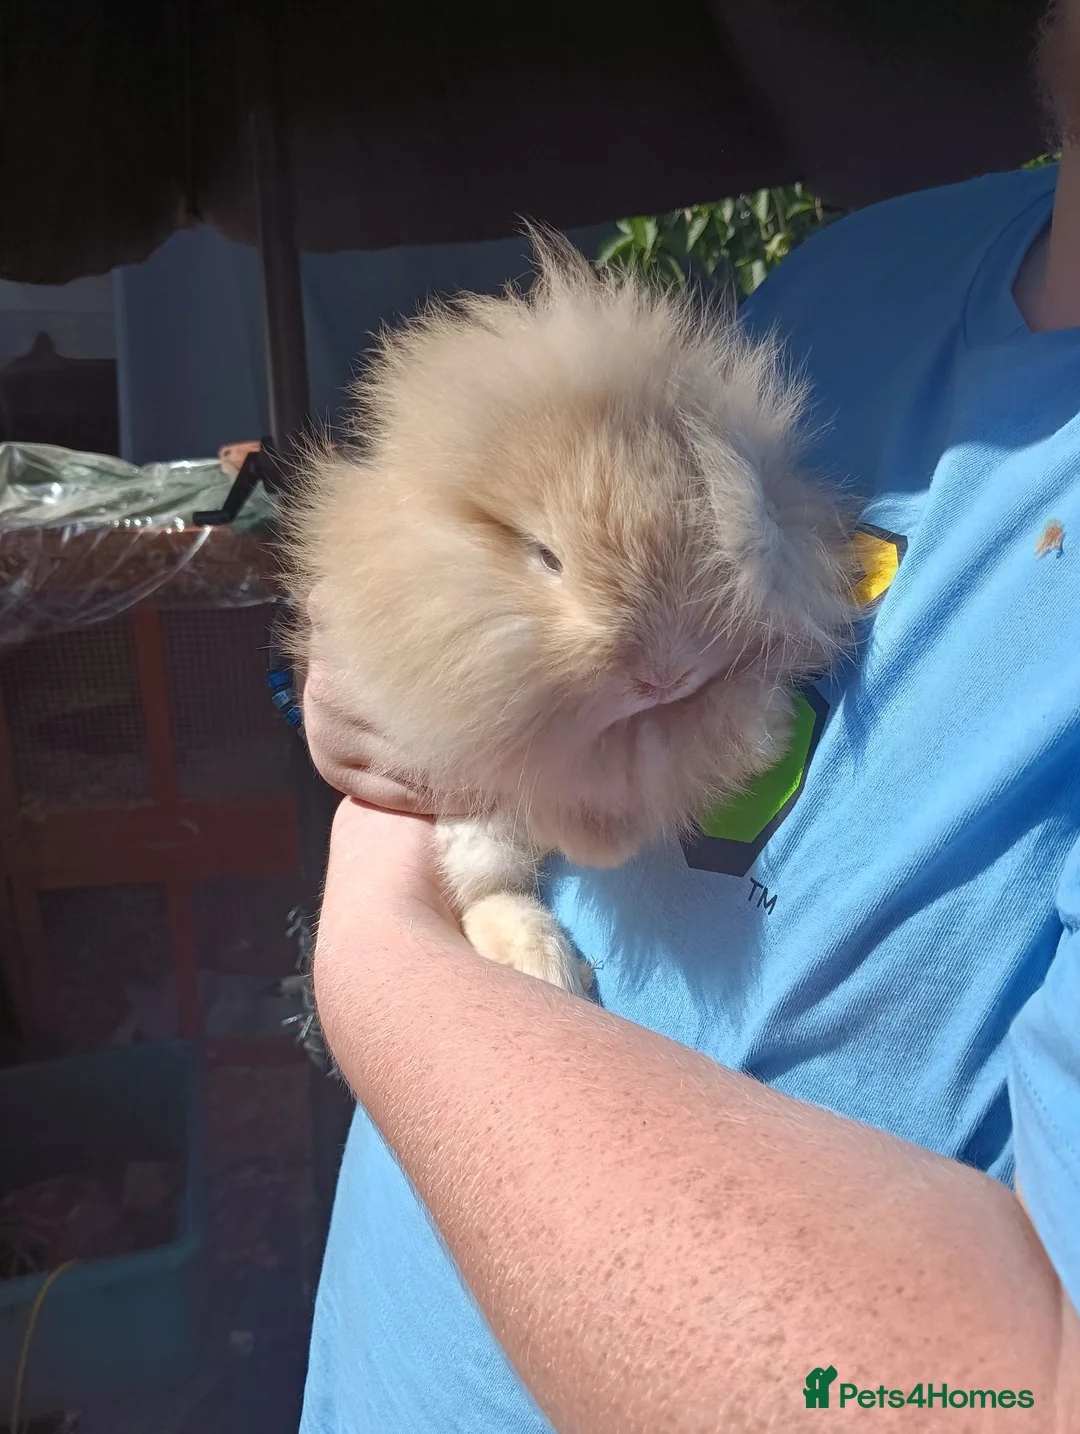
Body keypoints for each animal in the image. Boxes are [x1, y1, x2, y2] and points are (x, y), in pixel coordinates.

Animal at [284, 233, 858, 998]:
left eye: (707, 513)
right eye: (545, 556)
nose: (663, 673)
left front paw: (760, 723)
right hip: (476, 827)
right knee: (490, 891)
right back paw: (548, 966)